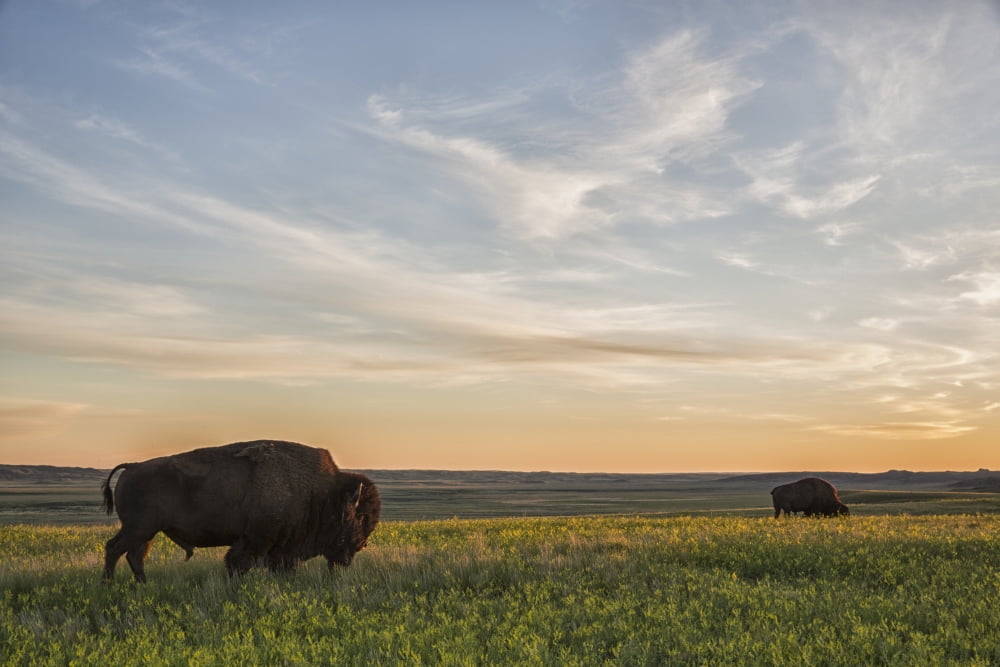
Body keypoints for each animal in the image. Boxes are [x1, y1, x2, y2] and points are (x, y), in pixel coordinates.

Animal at [101, 439, 380, 582]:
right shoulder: (255, 540)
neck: (322, 492)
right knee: (114, 549)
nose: (360, 545)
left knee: (134, 556)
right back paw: (110, 585)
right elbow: (238, 563)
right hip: (139, 529)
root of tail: (133, 466)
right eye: (361, 516)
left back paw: (142, 585)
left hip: (146, 532)